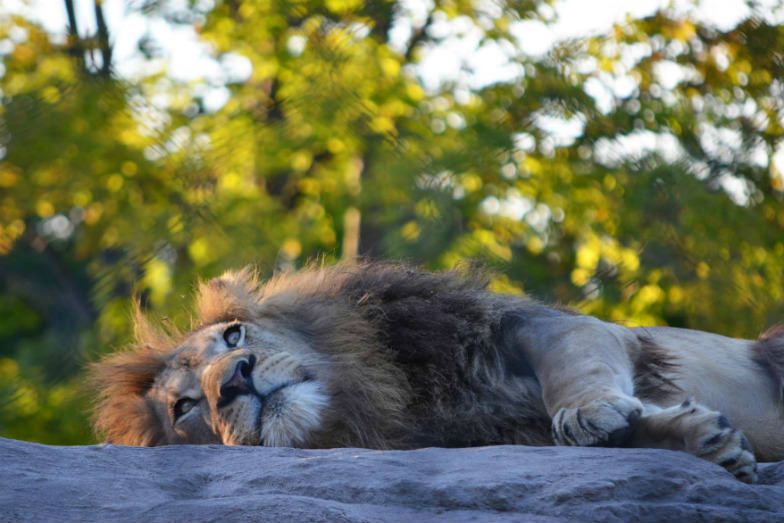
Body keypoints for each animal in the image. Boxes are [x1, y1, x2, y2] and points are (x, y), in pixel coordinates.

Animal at [89, 262, 784, 484]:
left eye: (233, 335)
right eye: (184, 408)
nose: (235, 377)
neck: (379, 401)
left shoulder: (539, 326)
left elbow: (575, 375)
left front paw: (591, 411)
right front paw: (707, 444)